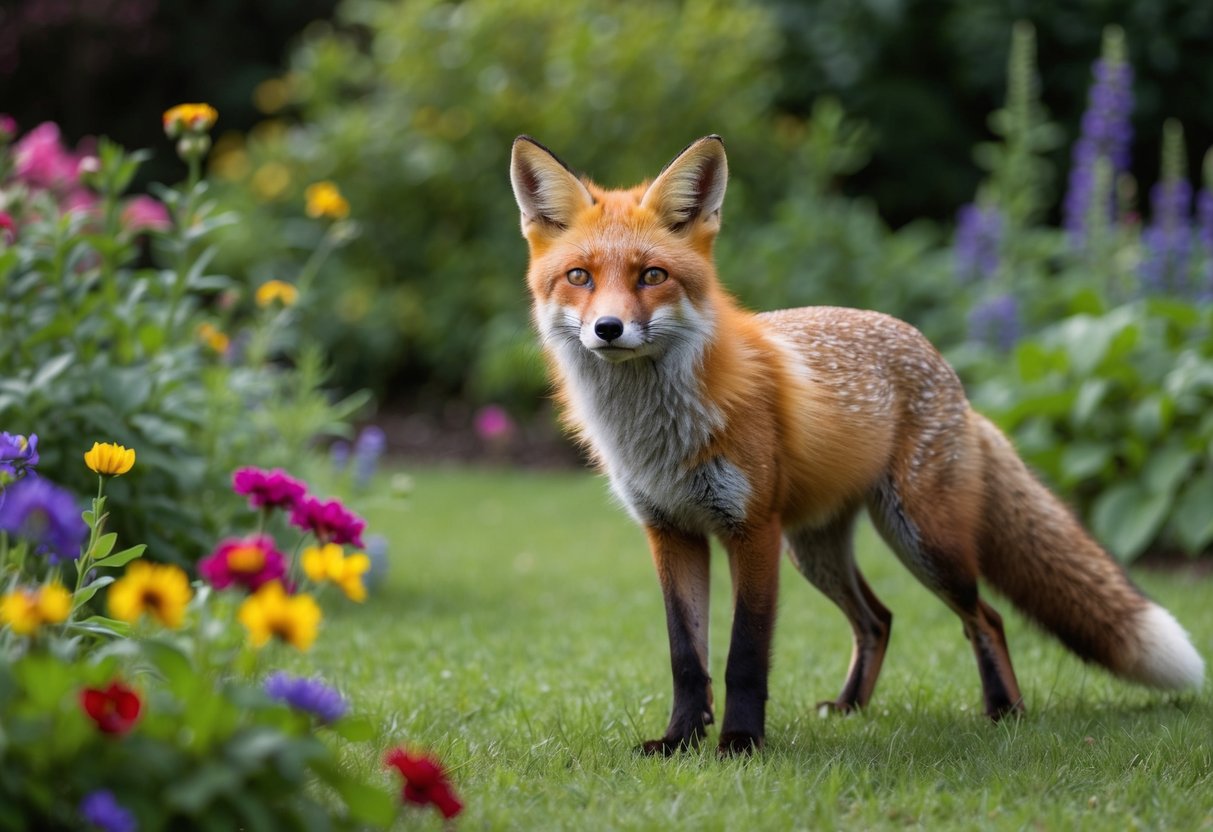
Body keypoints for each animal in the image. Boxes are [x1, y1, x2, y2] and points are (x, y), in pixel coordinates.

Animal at [508, 134, 1205, 756]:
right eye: (579, 277)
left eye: (652, 275)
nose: (608, 328)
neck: (655, 432)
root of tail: (950, 374)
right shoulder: (670, 531)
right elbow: (687, 657)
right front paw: (680, 741)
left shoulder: (750, 530)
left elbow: (744, 655)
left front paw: (740, 743)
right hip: (815, 550)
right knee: (879, 618)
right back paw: (851, 707)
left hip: (923, 541)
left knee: (987, 617)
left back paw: (1005, 710)